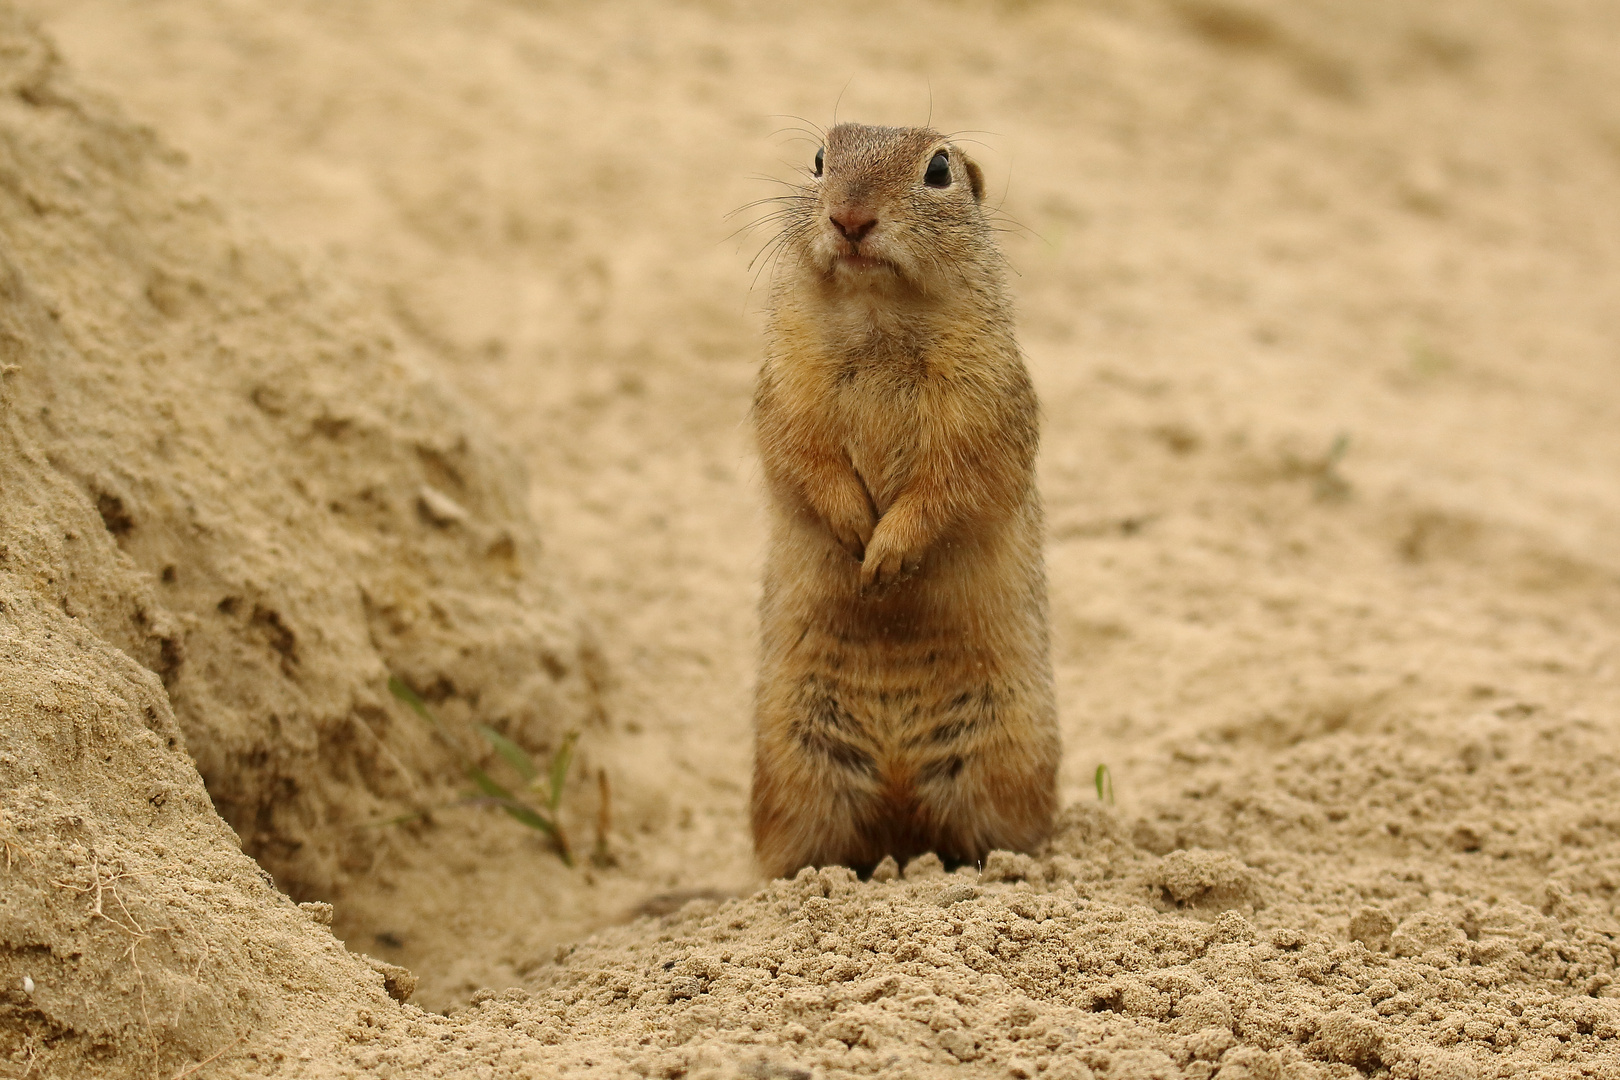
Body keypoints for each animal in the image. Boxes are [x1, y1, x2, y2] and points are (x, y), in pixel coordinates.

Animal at [748, 122, 1056, 880]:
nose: (850, 218)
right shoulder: (788, 385)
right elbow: (802, 456)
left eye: (938, 169)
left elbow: (953, 485)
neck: (877, 318)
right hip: (797, 764)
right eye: (819, 160)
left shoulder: (984, 405)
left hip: (1003, 759)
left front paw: (885, 555)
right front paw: (855, 533)